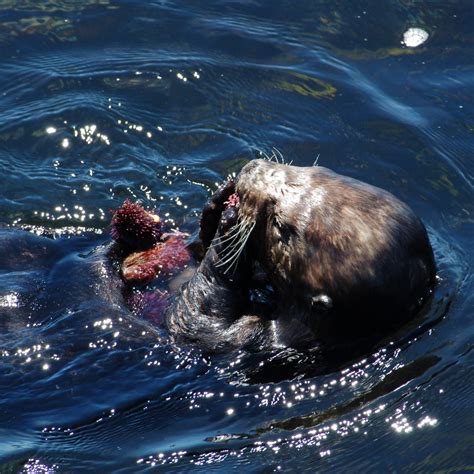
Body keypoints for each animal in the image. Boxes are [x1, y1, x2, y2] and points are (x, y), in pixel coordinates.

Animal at [164, 159, 436, 352]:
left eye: (281, 227)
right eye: (317, 169)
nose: (251, 168)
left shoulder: (245, 340)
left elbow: (195, 322)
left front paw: (229, 227)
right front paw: (220, 199)